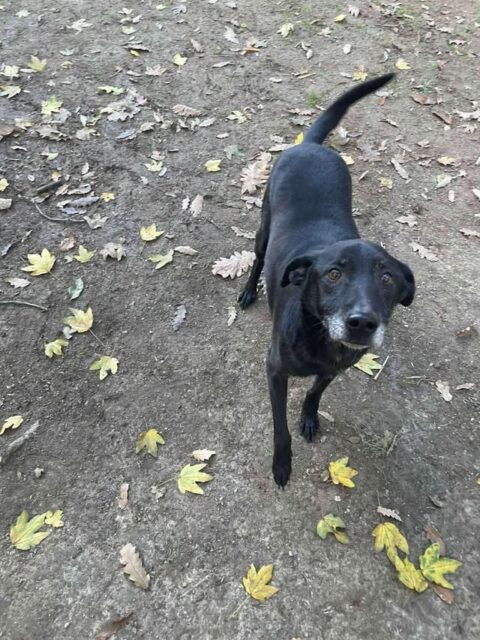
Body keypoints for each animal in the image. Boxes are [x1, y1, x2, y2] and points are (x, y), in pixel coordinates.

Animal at [238, 73, 415, 487]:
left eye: (388, 279)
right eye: (334, 273)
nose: (361, 323)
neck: (321, 338)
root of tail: (310, 146)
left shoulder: (334, 370)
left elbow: (314, 393)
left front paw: (309, 417)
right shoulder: (274, 371)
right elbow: (280, 429)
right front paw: (282, 464)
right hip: (264, 226)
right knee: (256, 258)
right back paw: (249, 291)